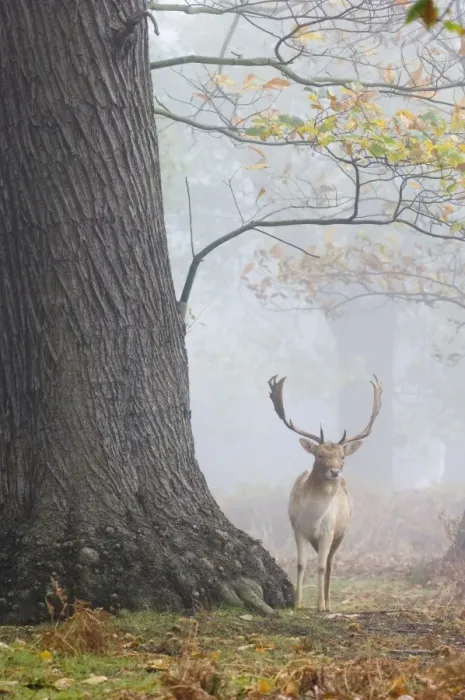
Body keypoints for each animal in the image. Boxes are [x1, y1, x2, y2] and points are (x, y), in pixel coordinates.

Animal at [268, 374, 383, 613]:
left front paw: (320, 605)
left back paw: (328, 602)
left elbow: (321, 566)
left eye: (342, 456)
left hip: (341, 532)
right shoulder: (298, 528)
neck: (313, 517)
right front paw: (298, 602)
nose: (335, 471)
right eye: (319, 455)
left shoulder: (328, 531)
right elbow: (301, 564)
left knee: (330, 563)